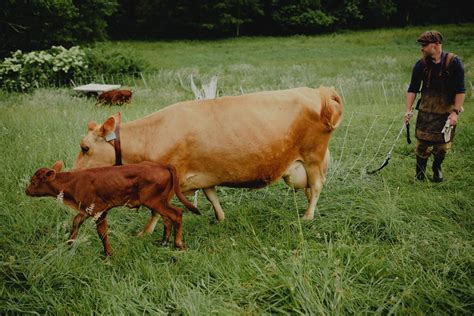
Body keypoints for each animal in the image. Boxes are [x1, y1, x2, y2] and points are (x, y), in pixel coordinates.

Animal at [25, 162, 200, 256]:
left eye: (33, 182)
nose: (26, 190)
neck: (72, 183)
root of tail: (162, 164)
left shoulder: (99, 211)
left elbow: (102, 233)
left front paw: (108, 254)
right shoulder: (87, 210)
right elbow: (76, 222)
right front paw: (69, 243)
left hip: (154, 201)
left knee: (176, 214)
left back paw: (178, 244)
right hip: (160, 201)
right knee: (166, 218)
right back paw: (164, 242)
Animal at [73, 85, 340, 221]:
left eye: (85, 148)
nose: (73, 174)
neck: (151, 135)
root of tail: (318, 90)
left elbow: (158, 212)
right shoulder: (205, 174)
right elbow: (212, 197)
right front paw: (220, 219)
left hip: (313, 156)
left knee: (317, 186)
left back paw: (307, 216)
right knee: (310, 188)